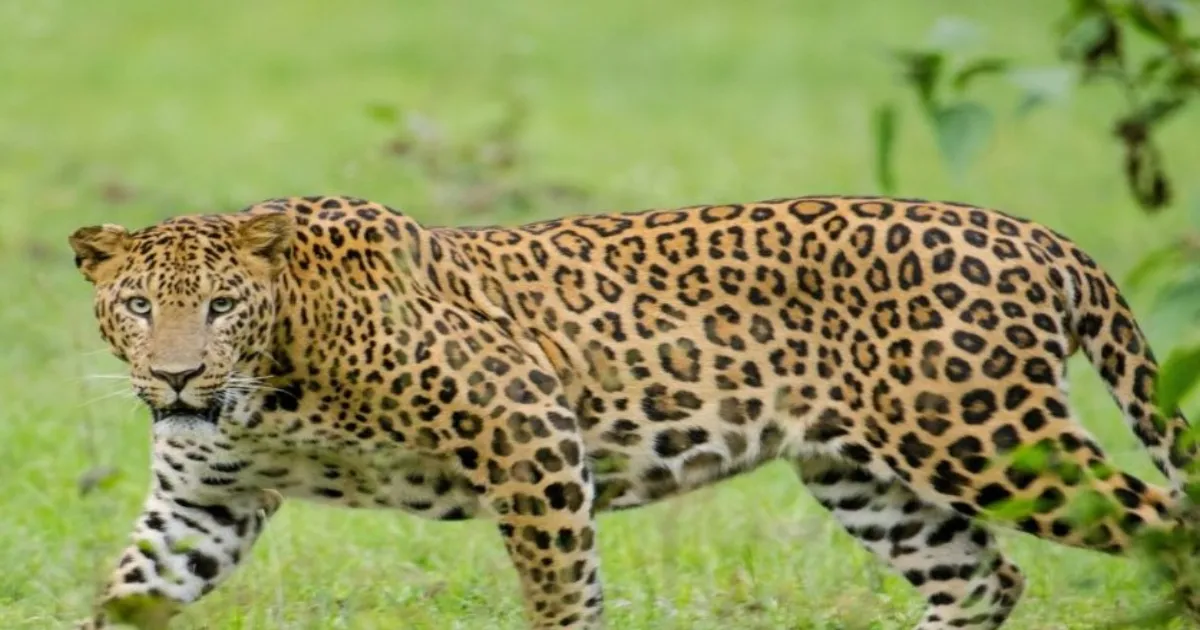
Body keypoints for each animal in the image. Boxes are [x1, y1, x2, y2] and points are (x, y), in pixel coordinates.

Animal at [67, 194, 1200, 630]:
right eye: (138, 306)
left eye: (221, 306)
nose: (177, 379)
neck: (270, 392)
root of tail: (1037, 234)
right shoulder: (202, 509)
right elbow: (129, 594)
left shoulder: (528, 431)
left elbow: (561, 595)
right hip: (865, 473)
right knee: (981, 577)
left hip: (992, 441)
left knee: (1166, 526)